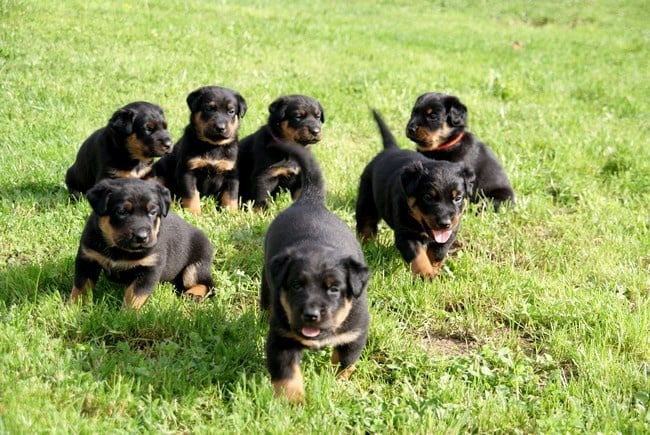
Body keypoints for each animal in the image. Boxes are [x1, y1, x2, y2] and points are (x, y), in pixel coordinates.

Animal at [69, 178, 214, 310]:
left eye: (152, 212)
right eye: (121, 212)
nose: (142, 237)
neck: (119, 249)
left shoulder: (149, 267)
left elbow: (134, 296)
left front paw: (127, 315)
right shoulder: (88, 258)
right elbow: (81, 287)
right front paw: (74, 308)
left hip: (195, 266)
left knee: (208, 284)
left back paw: (193, 294)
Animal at [153, 86, 247, 215]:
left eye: (231, 111)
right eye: (208, 109)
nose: (220, 127)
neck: (213, 146)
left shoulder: (231, 173)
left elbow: (230, 196)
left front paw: (231, 214)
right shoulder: (187, 171)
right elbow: (191, 195)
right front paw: (195, 214)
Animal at [260, 141, 370, 406]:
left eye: (334, 289)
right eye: (296, 286)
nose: (310, 315)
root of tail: (310, 201)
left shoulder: (356, 332)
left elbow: (345, 360)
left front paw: (338, 381)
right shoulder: (281, 337)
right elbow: (287, 373)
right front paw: (293, 402)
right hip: (267, 283)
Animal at [354, 111, 470, 280]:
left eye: (458, 198)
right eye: (427, 197)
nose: (445, 223)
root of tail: (391, 149)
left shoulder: (450, 232)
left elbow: (438, 252)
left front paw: (434, 271)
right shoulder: (406, 233)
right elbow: (418, 255)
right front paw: (426, 274)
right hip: (366, 199)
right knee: (366, 224)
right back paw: (367, 246)